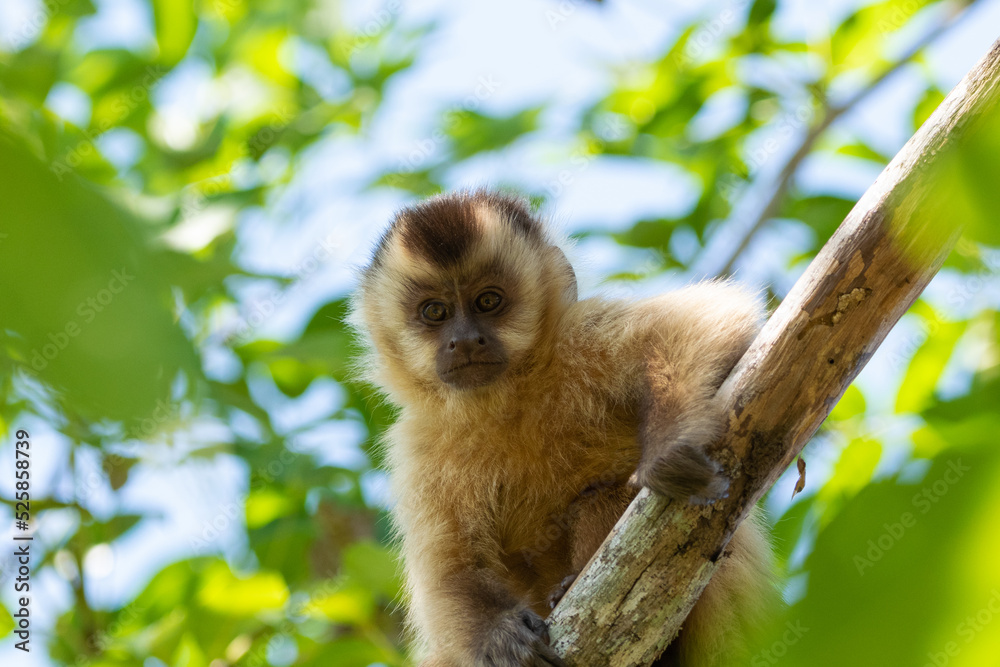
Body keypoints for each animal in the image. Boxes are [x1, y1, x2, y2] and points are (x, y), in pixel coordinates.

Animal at [350, 190, 777, 667]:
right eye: (435, 312)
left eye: (488, 302)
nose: (464, 341)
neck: (508, 401)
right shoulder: (417, 447)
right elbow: (453, 568)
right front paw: (498, 636)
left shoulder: (579, 335)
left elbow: (703, 321)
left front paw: (671, 444)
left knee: (603, 497)